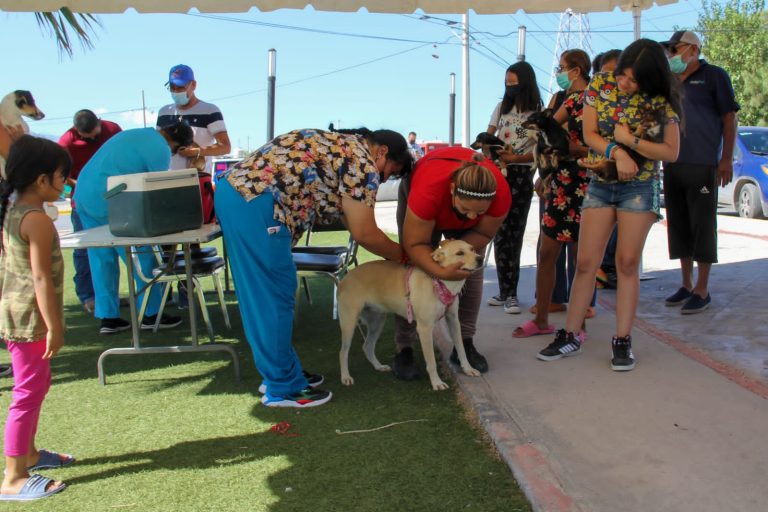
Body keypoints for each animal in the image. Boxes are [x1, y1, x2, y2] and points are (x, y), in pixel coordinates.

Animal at [340, 238, 484, 390]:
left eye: (472, 249)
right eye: (459, 253)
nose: (481, 259)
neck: (440, 283)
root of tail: (345, 278)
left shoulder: (454, 321)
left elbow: (461, 349)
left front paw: (468, 369)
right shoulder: (425, 328)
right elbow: (431, 361)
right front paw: (436, 382)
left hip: (377, 322)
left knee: (367, 346)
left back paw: (378, 366)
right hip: (349, 323)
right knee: (343, 352)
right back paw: (345, 377)